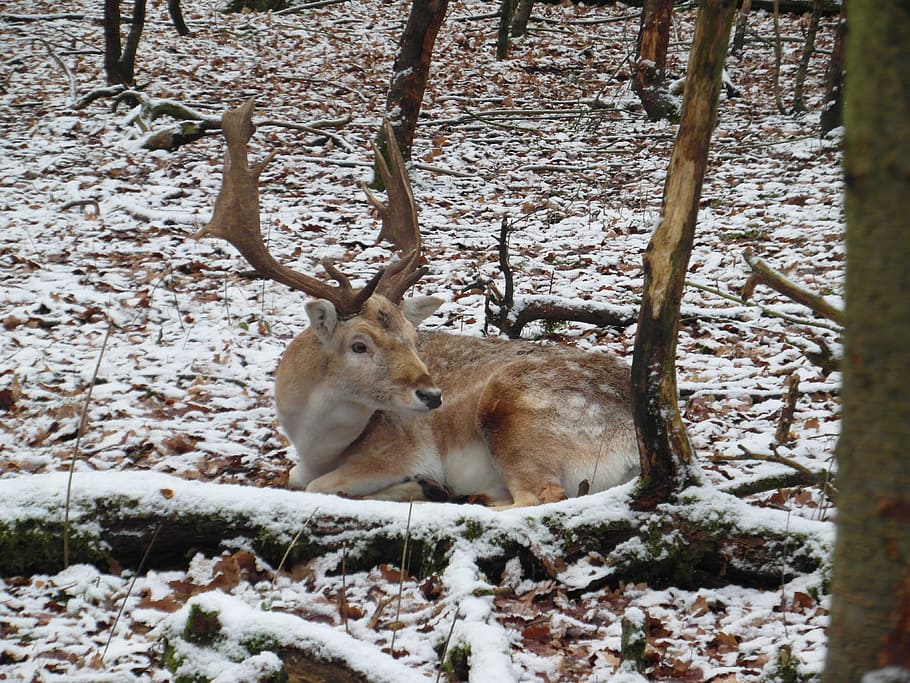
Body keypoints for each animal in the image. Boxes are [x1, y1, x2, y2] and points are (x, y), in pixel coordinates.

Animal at [195, 100, 639, 507]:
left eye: (411, 336)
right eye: (359, 344)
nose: (432, 396)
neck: (315, 443)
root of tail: (637, 449)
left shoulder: (403, 447)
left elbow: (316, 486)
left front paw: (418, 485)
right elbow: (295, 477)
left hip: (517, 413)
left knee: (540, 496)